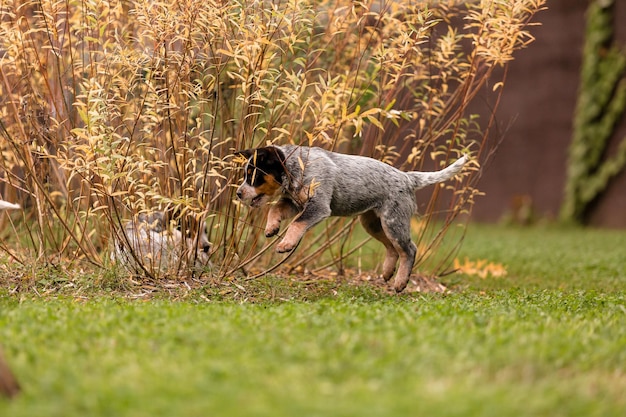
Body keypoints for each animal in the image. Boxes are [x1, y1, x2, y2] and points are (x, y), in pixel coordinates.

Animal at [234, 145, 464, 290]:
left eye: (254, 176)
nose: (238, 193)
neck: (298, 166)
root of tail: (408, 178)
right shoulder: (294, 202)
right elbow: (274, 209)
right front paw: (271, 228)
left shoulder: (318, 206)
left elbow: (296, 224)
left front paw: (285, 244)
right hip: (373, 223)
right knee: (392, 248)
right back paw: (387, 273)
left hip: (393, 222)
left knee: (409, 249)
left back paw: (400, 283)